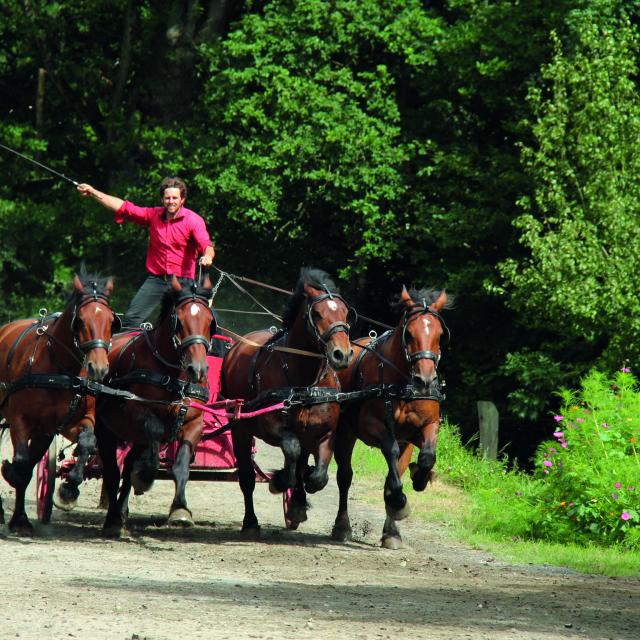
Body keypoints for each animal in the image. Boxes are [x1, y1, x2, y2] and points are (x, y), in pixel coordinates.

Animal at [0, 272, 117, 536]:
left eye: (111, 320)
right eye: (81, 321)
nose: (99, 368)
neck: (60, 369)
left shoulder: (71, 422)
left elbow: (87, 442)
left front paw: (69, 489)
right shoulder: (19, 420)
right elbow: (20, 463)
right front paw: (9, 473)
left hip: (43, 433)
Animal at [95, 276, 215, 536]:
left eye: (210, 322)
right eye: (179, 321)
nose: (198, 369)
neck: (174, 376)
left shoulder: (194, 422)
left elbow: (181, 466)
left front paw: (181, 510)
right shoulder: (136, 412)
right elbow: (155, 432)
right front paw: (145, 477)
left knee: (127, 465)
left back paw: (121, 511)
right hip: (105, 429)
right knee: (112, 470)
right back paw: (112, 518)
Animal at [222, 268, 356, 536]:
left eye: (345, 313)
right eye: (317, 313)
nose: (342, 354)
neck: (305, 383)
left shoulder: (326, 433)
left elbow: (318, 476)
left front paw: (299, 497)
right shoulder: (270, 426)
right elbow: (292, 450)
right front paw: (280, 481)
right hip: (240, 427)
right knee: (247, 478)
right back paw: (251, 521)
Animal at [330, 286, 450, 552]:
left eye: (439, 335)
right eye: (409, 334)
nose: (425, 381)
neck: (403, 385)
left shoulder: (424, 428)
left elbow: (425, 457)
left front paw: (418, 480)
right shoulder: (372, 426)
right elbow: (390, 449)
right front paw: (398, 500)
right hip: (344, 433)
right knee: (344, 476)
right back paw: (341, 526)